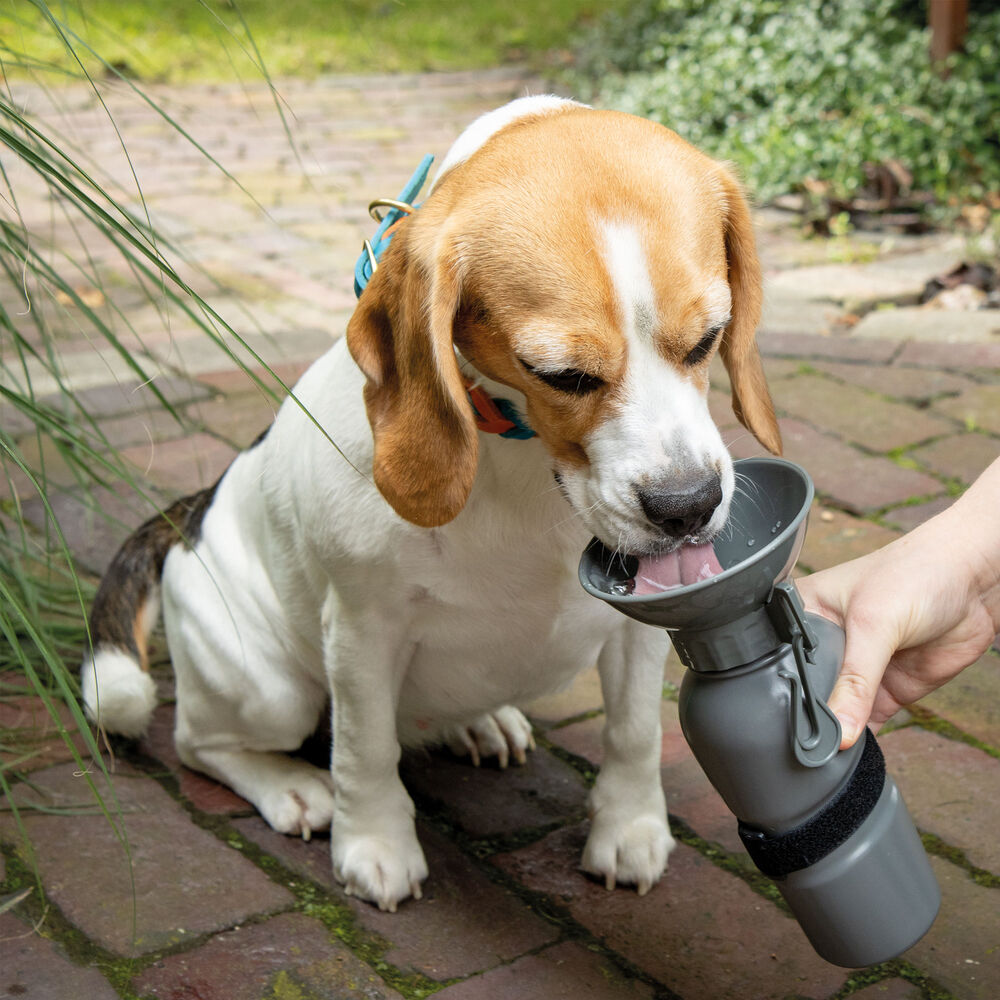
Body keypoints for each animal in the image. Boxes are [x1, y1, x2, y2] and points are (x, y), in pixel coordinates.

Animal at [84, 95, 780, 916]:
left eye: (708, 340)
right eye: (562, 375)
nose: (687, 507)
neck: (524, 468)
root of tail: (189, 517)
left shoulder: (641, 629)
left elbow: (636, 731)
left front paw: (631, 828)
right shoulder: (362, 630)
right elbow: (365, 749)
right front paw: (374, 843)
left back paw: (479, 726)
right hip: (267, 689)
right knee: (202, 743)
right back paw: (292, 789)